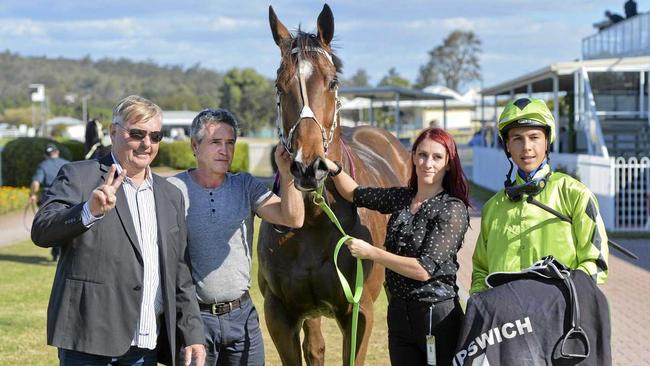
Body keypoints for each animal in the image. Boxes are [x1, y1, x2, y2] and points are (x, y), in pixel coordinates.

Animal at [256, 3, 404, 366]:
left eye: (332, 81)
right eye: (279, 85)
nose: (309, 167)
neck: (314, 220)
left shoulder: (358, 312)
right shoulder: (279, 313)